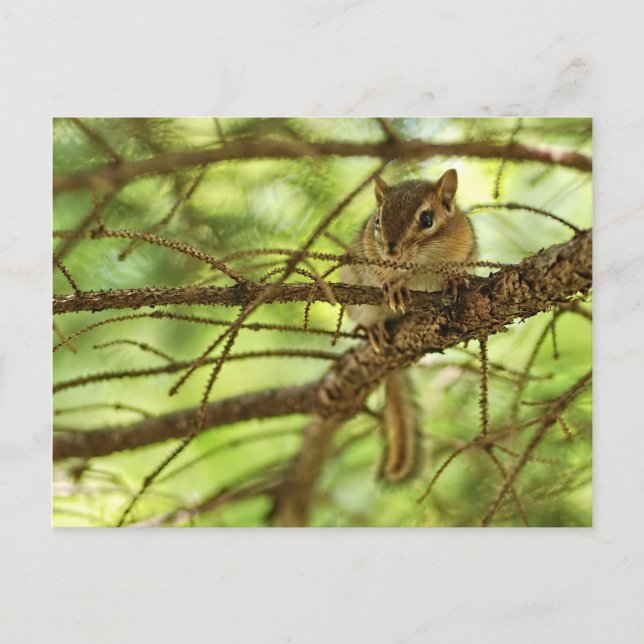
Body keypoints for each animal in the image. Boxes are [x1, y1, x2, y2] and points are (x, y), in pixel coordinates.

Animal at [340, 169, 477, 481]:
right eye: (378, 220)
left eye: (426, 219)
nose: (392, 252)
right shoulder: (371, 256)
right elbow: (385, 277)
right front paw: (394, 287)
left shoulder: (465, 250)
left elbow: (456, 271)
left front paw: (453, 280)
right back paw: (374, 329)